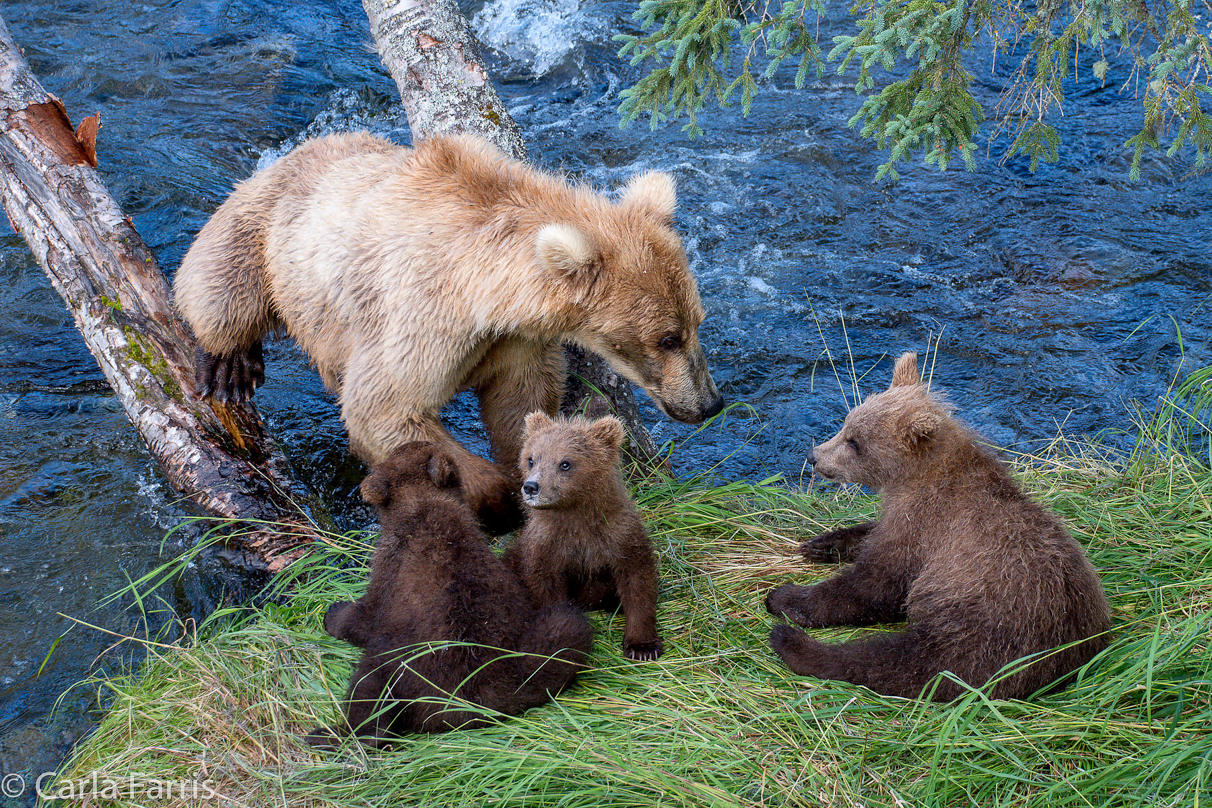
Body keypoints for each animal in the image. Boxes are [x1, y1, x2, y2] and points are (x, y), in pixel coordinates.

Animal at [170, 132, 717, 533]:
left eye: (697, 321)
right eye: (667, 338)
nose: (710, 403)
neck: (485, 293)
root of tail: (296, 150)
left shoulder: (515, 342)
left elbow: (520, 401)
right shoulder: (419, 316)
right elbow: (386, 410)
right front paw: (497, 497)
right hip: (268, 229)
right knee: (220, 277)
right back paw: (229, 365)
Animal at [765, 353, 1110, 702]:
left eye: (855, 442)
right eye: (846, 423)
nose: (814, 456)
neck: (915, 477)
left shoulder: (926, 530)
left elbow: (873, 586)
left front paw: (786, 598)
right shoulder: (900, 520)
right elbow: (869, 536)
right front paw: (822, 544)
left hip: (989, 620)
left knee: (906, 664)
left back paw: (795, 644)